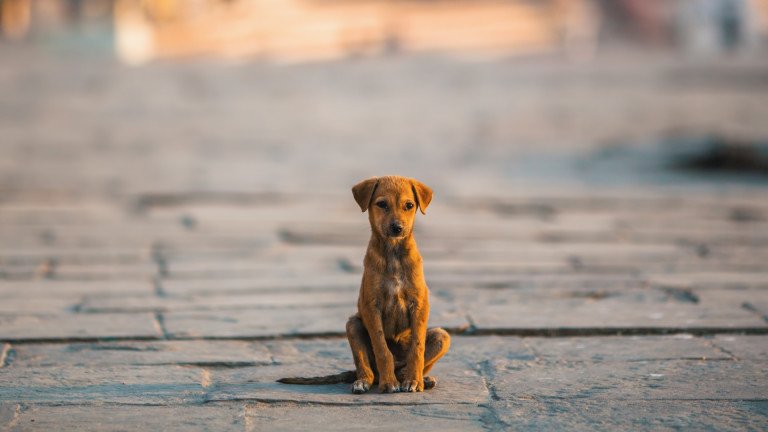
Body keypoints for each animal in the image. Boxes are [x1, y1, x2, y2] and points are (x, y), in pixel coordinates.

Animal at [348, 176, 450, 394]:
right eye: (382, 204)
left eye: (409, 205)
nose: (397, 228)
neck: (393, 253)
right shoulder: (371, 306)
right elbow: (382, 348)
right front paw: (389, 383)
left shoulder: (419, 305)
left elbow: (417, 348)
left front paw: (414, 381)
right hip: (353, 324)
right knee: (368, 369)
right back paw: (364, 381)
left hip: (442, 335)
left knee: (410, 365)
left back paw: (420, 379)